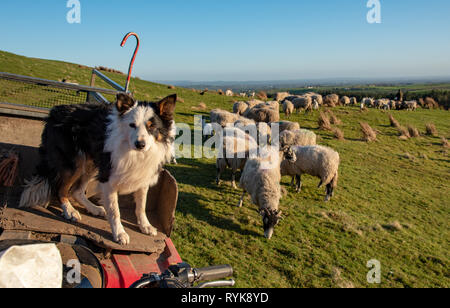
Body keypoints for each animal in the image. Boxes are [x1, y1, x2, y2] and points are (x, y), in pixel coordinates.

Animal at [19, 92, 178, 244]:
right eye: (132, 125)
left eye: (152, 126)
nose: (140, 144)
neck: (134, 152)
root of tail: (54, 111)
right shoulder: (108, 178)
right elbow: (115, 211)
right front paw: (119, 233)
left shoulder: (143, 174)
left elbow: (141, 206)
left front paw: (145, 225)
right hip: (75, 163)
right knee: (61, 189)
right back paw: (70, 211)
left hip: (92, 163)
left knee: (76, 191)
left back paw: (93, 208)